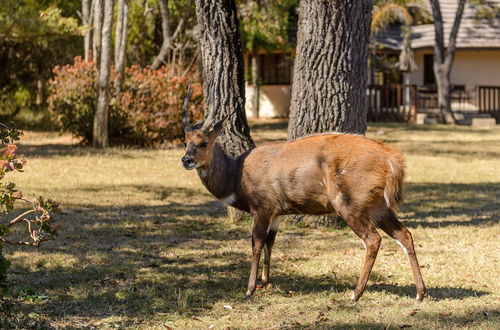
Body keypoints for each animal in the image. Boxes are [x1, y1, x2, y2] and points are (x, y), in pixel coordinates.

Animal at [182, 93, 424, 302]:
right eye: (185, 141)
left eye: (203, 142)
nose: (186, 160)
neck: (236, 175)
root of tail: (392, 160)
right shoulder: (276, 214)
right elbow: (270, 243)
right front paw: (264, 282)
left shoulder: (261, 208)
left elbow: (256, 244)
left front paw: (250, 289)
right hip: (379, 207)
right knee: (405, 235)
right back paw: (420, 293)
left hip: (348, 205)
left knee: (373, 239)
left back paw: (355, 294)